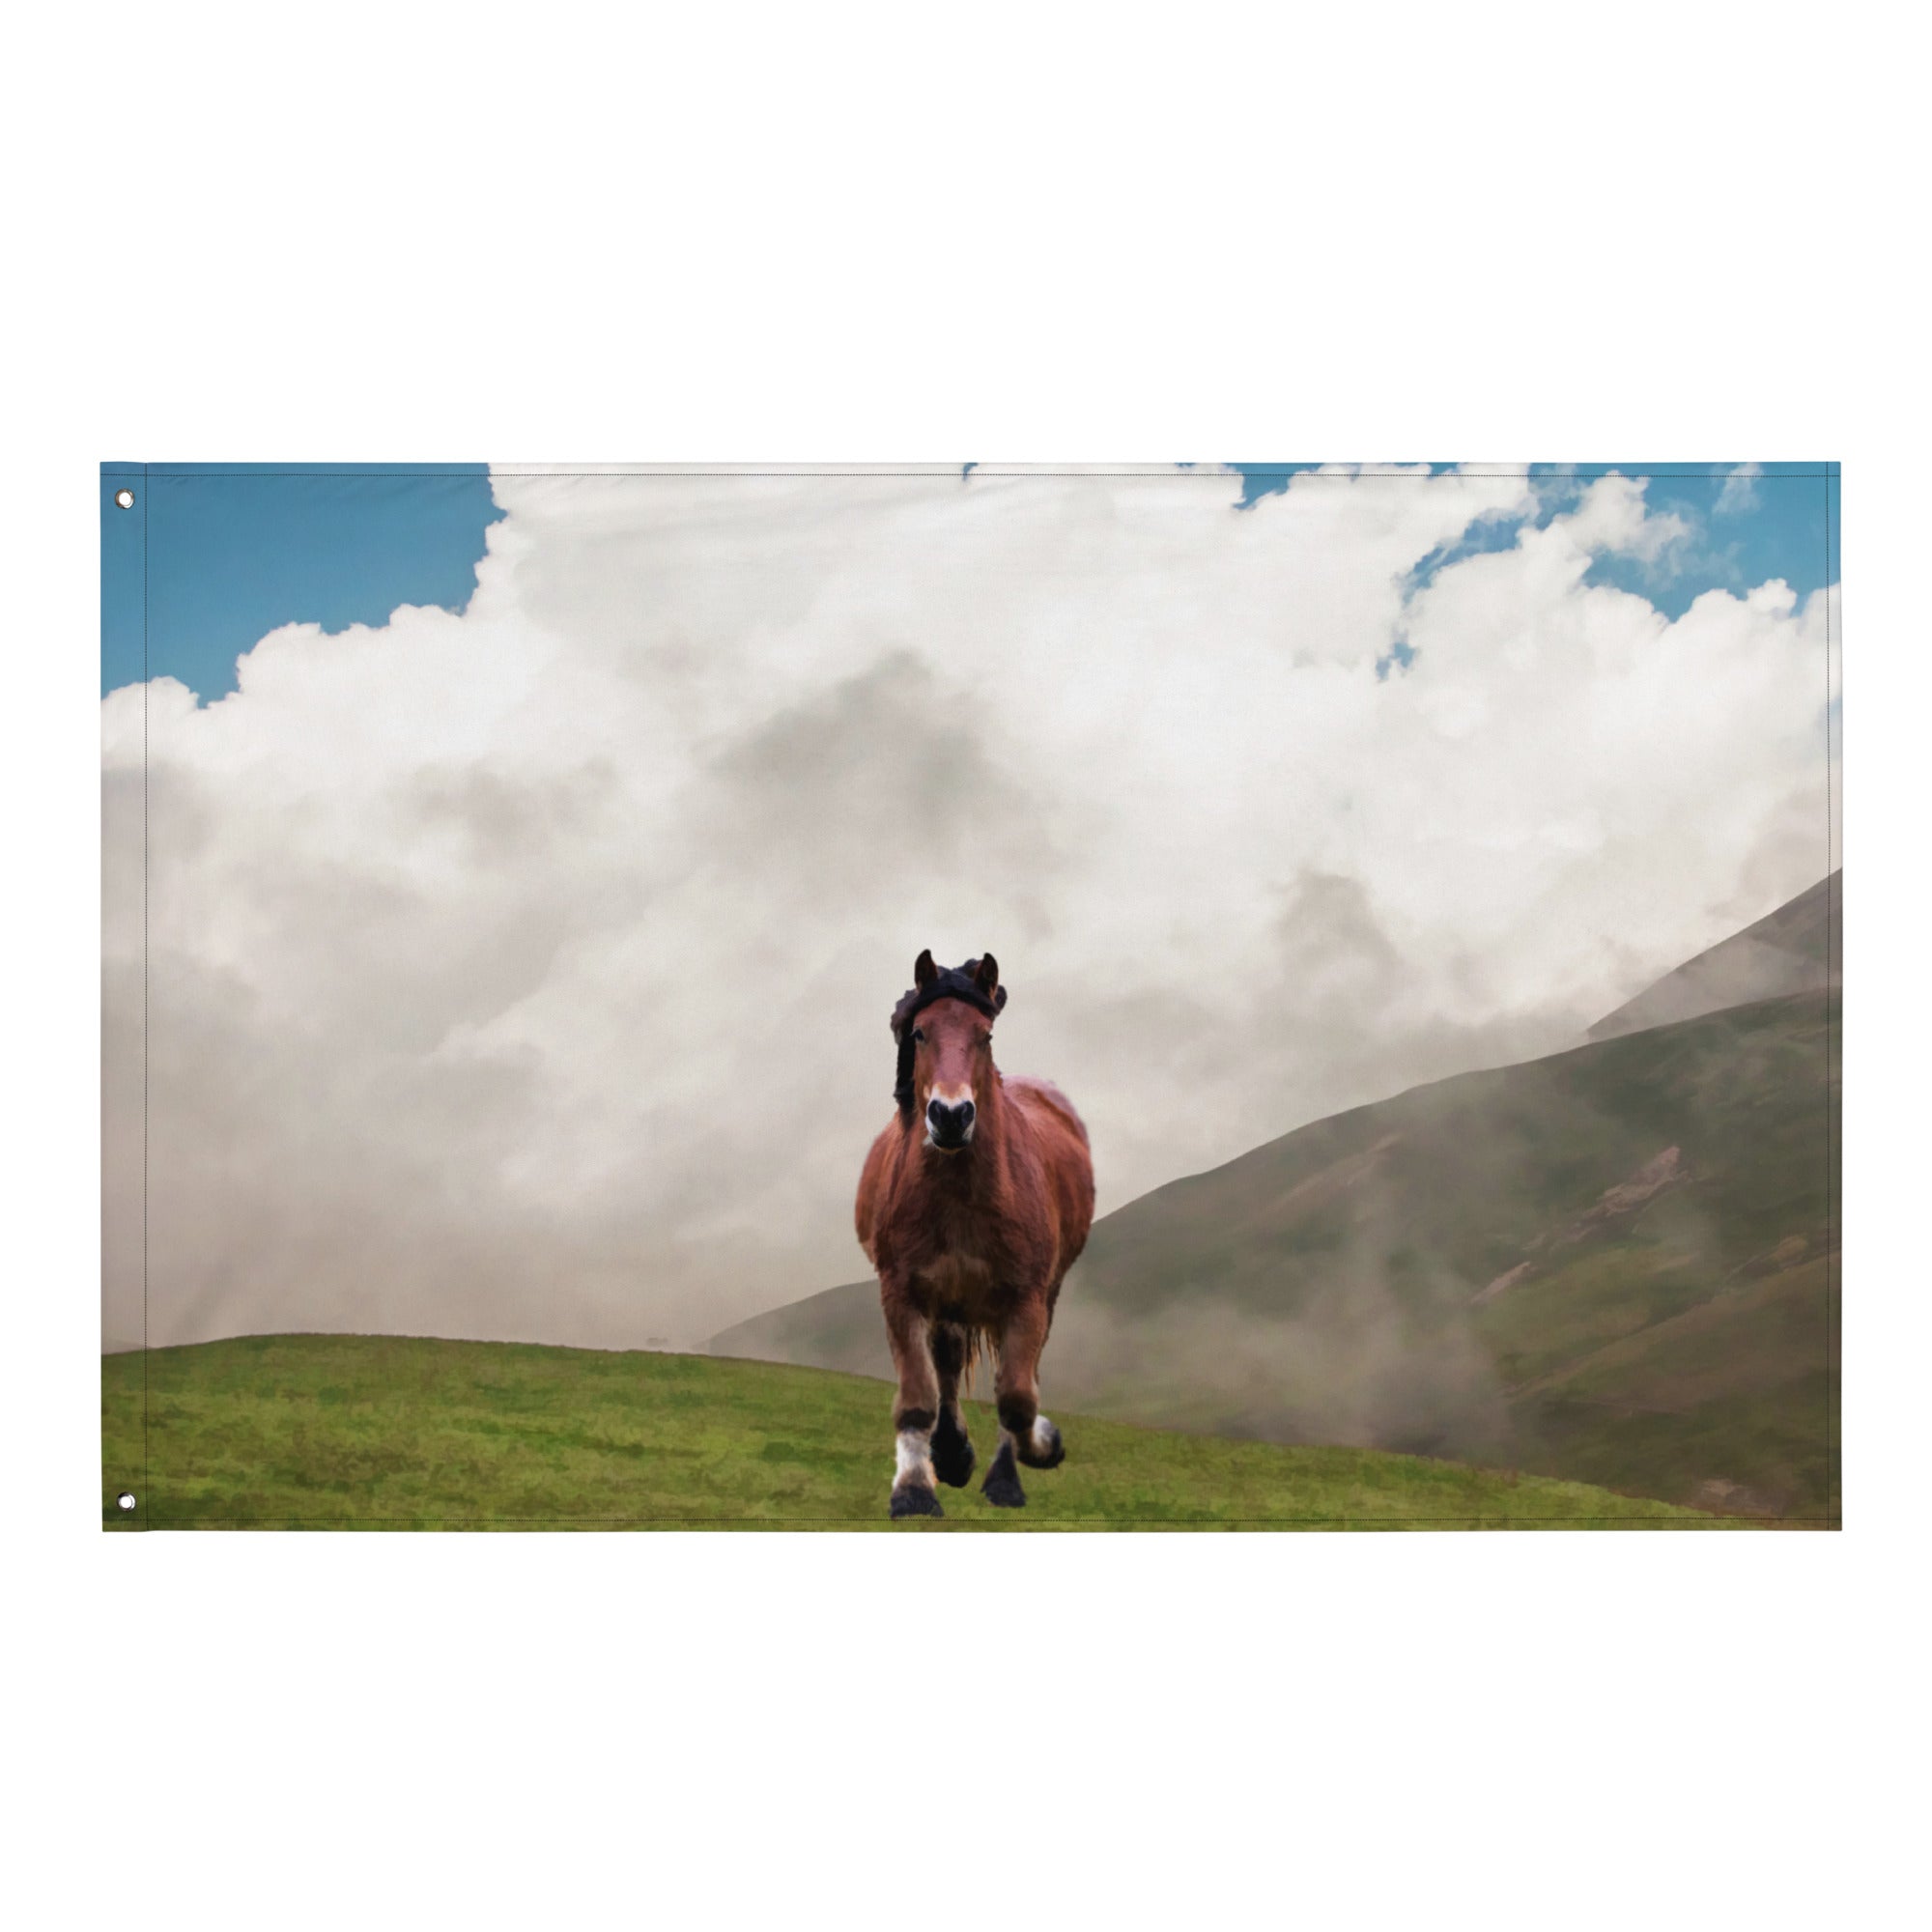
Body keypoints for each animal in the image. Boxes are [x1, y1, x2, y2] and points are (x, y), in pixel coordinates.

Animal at [853, 950, 1095, 1519]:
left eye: (985, 1035)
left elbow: (1017, 1397)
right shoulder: (901, 1293)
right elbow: (918, 1396)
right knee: (945, 1364)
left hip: (1041, 1294)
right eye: (919, 1032)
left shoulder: (1026, 1298)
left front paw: (1028, 1458)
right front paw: (914, 1489)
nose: (950, 1115)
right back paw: (950, 1451)